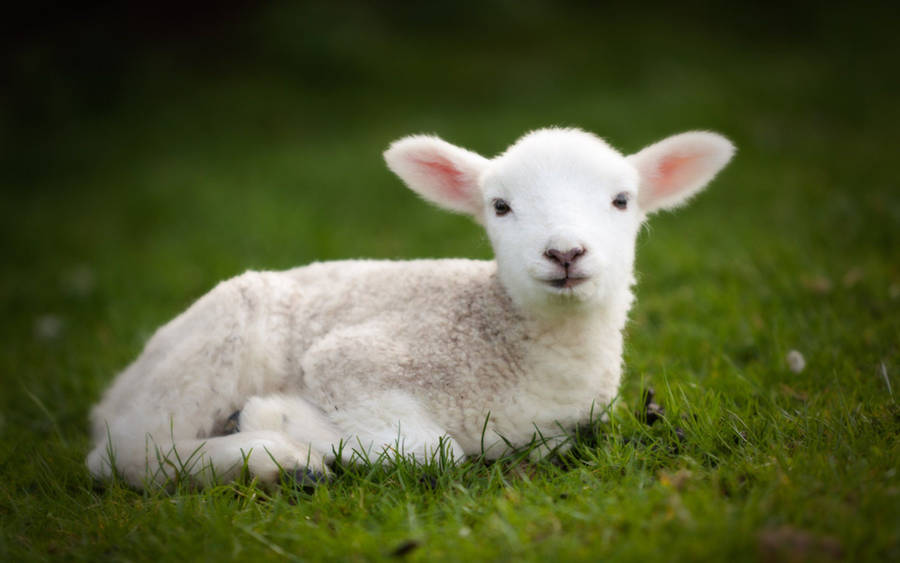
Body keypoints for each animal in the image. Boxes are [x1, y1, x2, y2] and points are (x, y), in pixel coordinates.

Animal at [84, 128, 736, 490]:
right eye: (499, 207)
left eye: (622, 200)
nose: (565, 253)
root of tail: (112, 393)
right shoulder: (354, 358)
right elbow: (432, 450)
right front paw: (279, 421)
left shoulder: (562, 430)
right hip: (213, 345)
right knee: (126, 453)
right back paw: (274, 459)